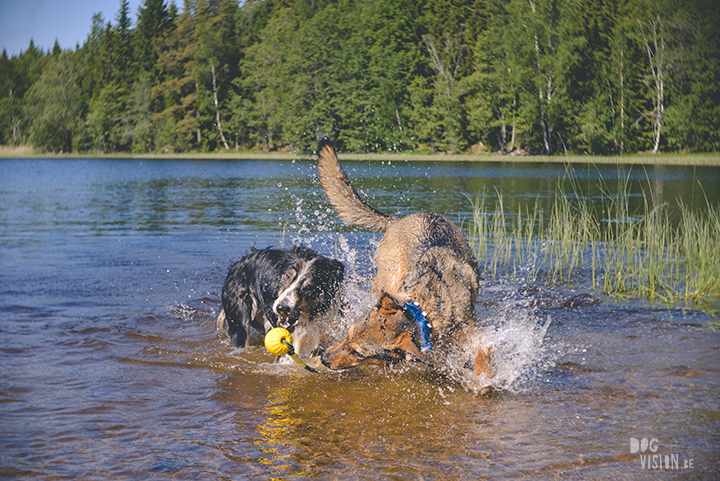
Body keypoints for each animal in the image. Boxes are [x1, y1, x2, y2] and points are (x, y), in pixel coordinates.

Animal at [318, 137, 492, 392]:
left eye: (359, 353)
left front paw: (483, 380)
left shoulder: (470, 330)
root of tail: (400, 219)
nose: (323, 358)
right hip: (387, 275)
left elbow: (483, 350)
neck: (423, 310)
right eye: (347, 334)